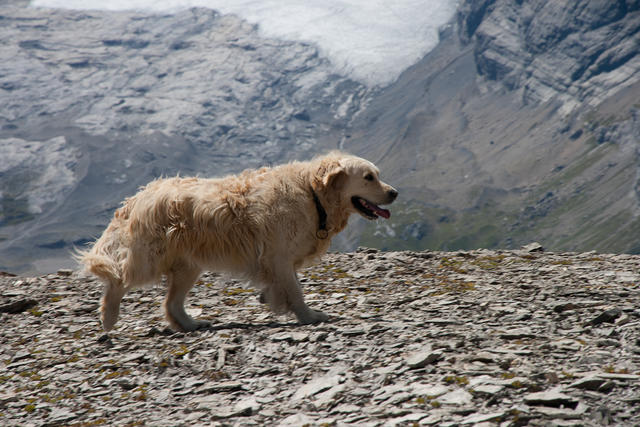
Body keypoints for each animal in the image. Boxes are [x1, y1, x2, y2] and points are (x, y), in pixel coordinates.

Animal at [77, 152, 398, 332]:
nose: (394, 193)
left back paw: (191, 324)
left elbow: (287, 286)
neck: (313, 194)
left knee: (171, 304)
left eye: (378, 175)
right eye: (368, 177)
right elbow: (296, 291)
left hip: (188, 265)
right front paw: (309, 315)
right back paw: (108, 318)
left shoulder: (281, 260)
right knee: (119, 280)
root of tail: (138, 196)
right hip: (150, 259)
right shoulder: (278, 256)